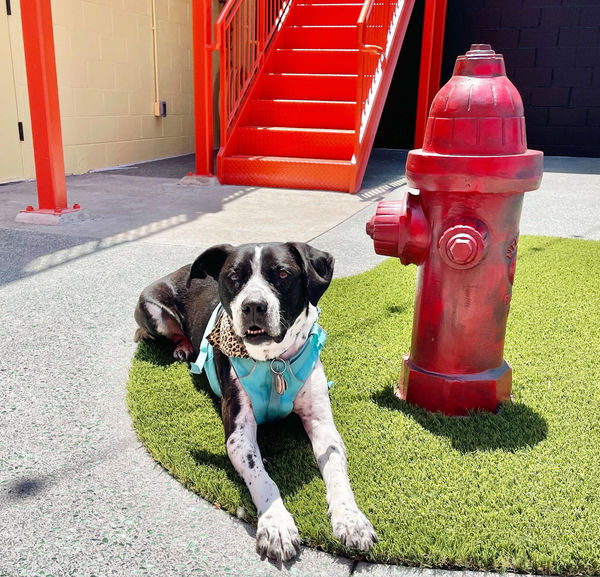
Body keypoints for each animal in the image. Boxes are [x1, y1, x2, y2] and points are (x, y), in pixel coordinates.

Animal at [135, 244, 378, 564]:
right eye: (233, 276)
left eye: (283, 274)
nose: (252, 306)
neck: (273, 361)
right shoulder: (238, 435)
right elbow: (263, 479)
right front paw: (276, 524)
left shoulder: (322, 424)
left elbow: (336, 469)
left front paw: (350, 519)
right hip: (152, 309)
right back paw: (183, 347)